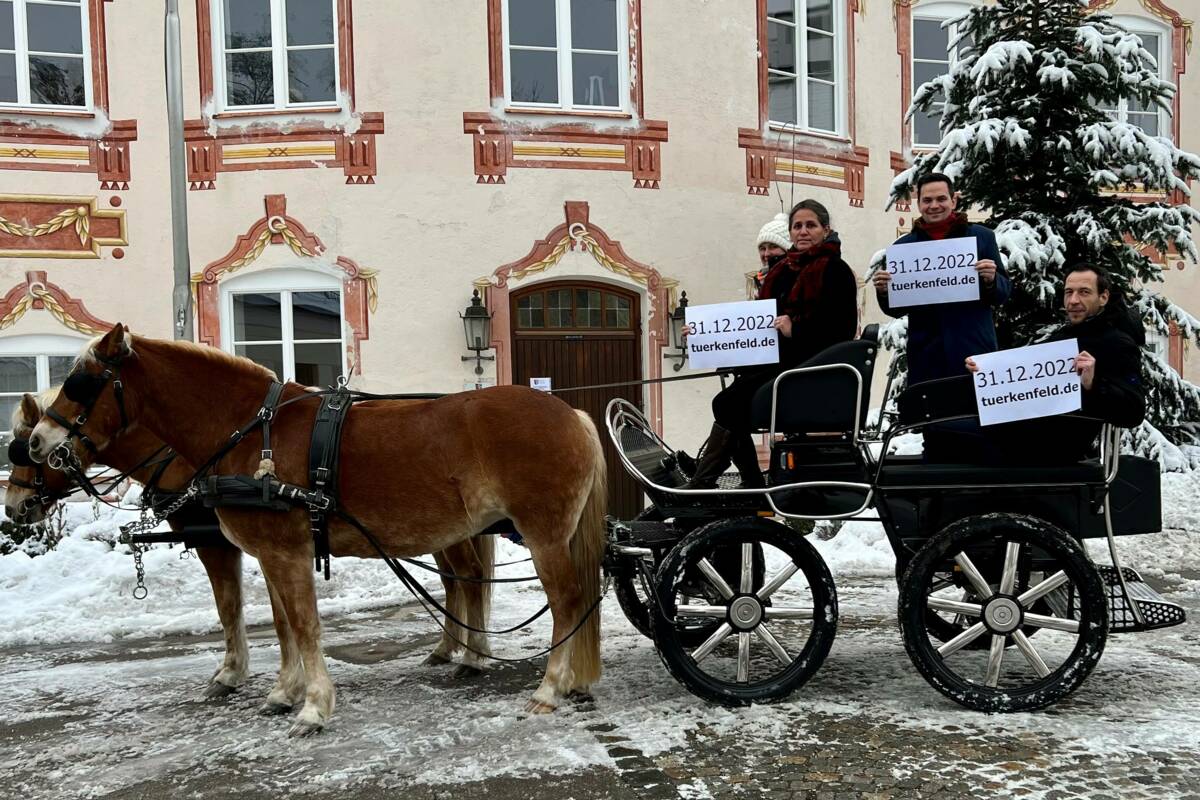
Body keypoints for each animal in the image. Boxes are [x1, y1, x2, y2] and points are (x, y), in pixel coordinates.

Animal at [9, 388, 496, 714]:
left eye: (26, 450)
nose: (15, 508)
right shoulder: (261, 547)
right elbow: (276, 618)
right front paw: (277, 683)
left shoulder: (220, 544)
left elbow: (230, 608)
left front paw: (232, 673)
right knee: (457, 579)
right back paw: (448, 648)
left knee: (467, 576)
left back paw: (468, 653)